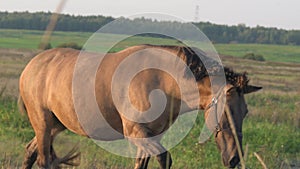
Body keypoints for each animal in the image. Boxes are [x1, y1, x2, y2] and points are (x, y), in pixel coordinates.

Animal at [19, 44, 262, 168]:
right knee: (42, 160)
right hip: (43, 123)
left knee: (30, 152)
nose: (234, 159)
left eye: (245, 112)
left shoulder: (151, 136)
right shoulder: (137, 133)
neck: (162, 80)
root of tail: (31, 66)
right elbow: (165, 159)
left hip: (56, 125)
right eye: (226, 111)